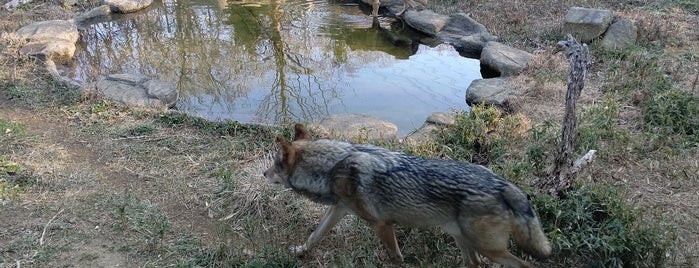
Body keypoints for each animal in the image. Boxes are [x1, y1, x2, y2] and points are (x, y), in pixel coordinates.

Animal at [262, 124, 552, 268]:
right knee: (475, 265)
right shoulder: (338, 210)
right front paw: (300, 252)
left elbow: (396, 258)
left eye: (275, 164)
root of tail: (503, 184)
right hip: (465, 242)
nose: (263, 174)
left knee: (526, 267)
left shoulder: (382, 225)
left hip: (489, 249)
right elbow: (314, 235)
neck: (334, 166)